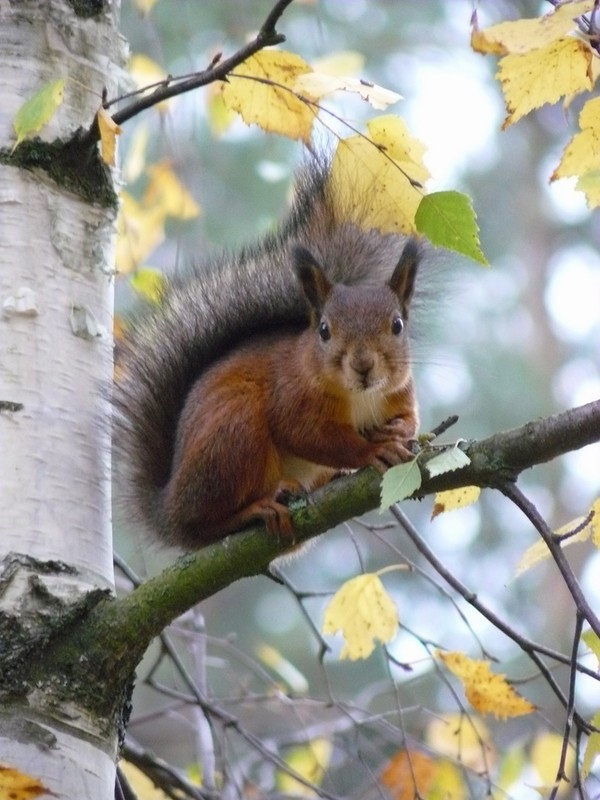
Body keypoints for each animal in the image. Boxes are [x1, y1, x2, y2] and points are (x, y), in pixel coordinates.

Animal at [115, 161, 420, 552]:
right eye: (324, 330)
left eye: (397, 325)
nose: (363, 366)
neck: (360, 396)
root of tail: (169, 510)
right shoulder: (291, 396)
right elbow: (307, 434)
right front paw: (369, 452)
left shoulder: (399, 391)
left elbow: (410, 417)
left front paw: (399, 430)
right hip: (234, 433)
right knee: (205, 526)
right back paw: (257, 508)